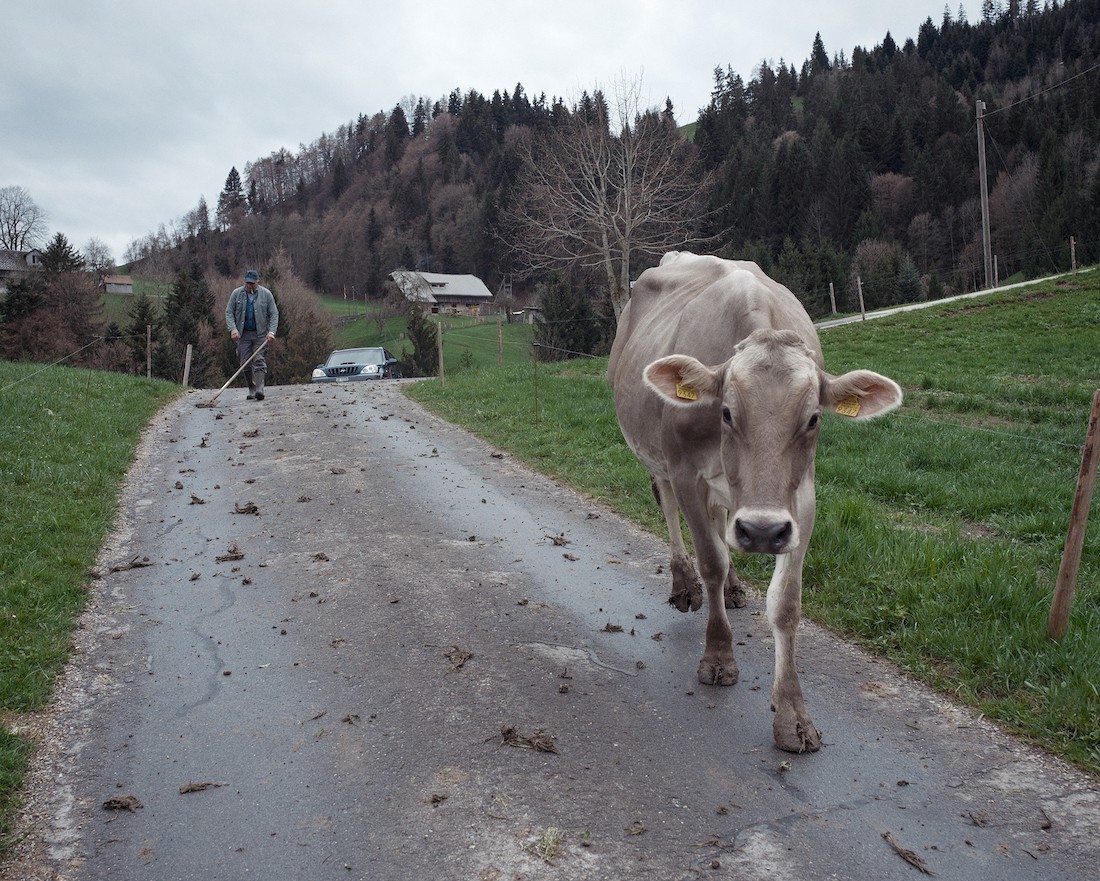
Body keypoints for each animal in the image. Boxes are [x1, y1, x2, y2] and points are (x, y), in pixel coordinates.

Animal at [602, 250, 902, 752]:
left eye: (814, 418)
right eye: (725, 411)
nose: (761, 531)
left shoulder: (800, 498)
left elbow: (786, 602)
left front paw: (793, 714)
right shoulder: (687, 473)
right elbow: (711, 560)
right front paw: (718, 657)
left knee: (723, 518)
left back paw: (736, 586)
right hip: (654, 454)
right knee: (668, 506)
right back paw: (684, 584)